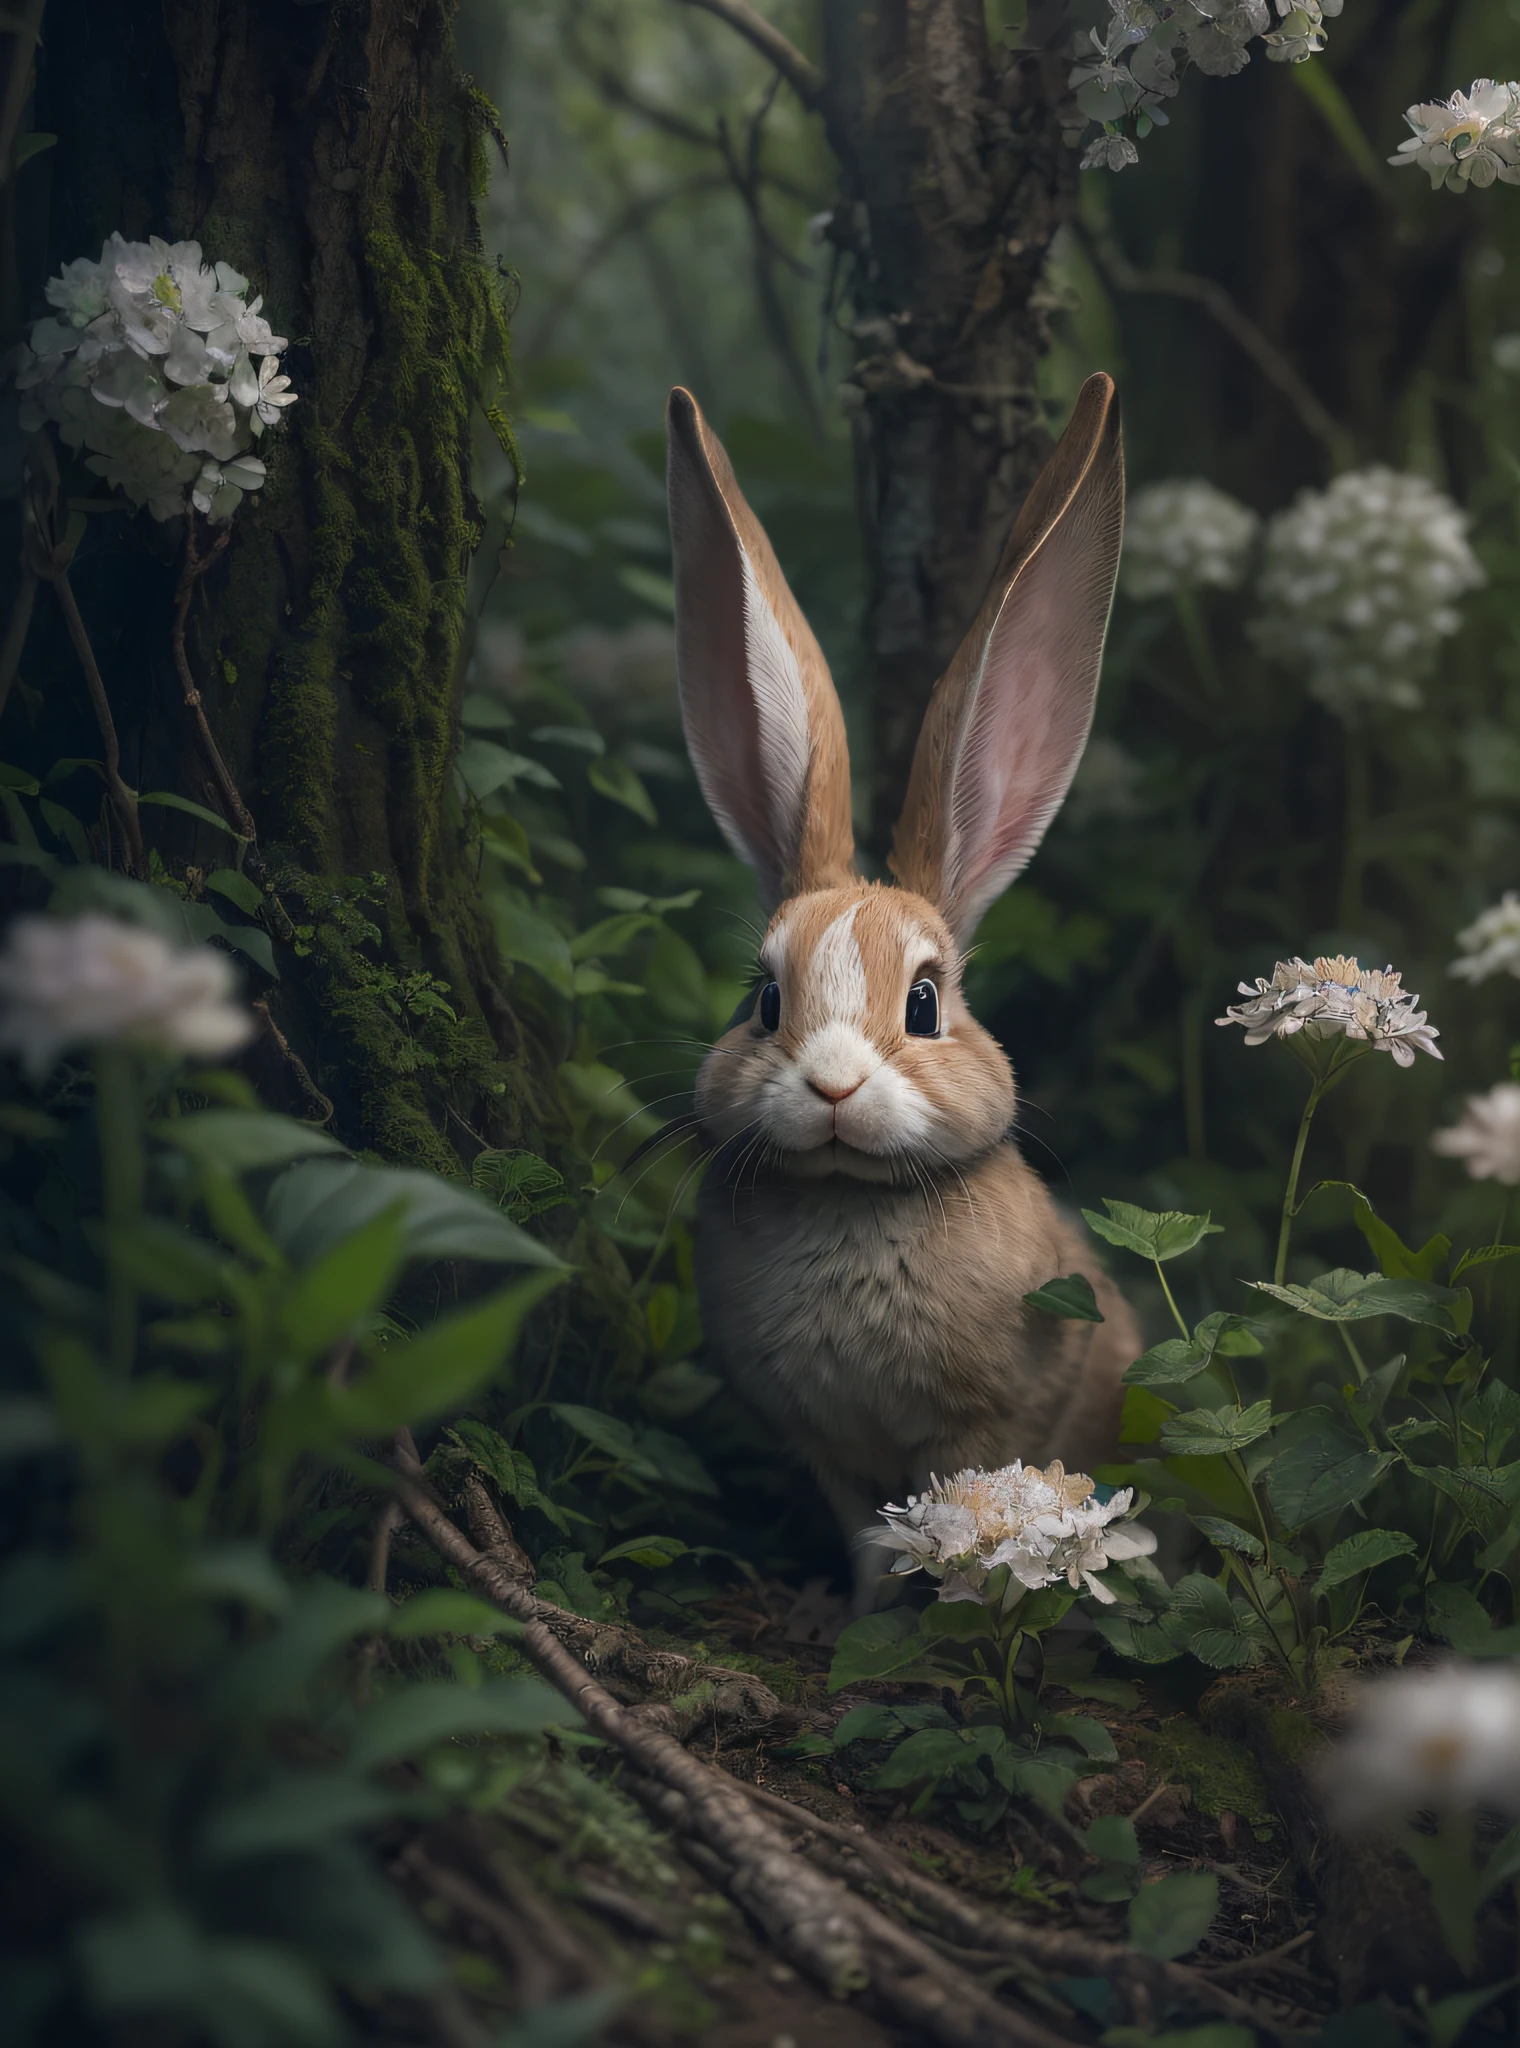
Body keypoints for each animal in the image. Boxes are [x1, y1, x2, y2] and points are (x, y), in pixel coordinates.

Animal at [667, 376, 1147, 1605]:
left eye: (925, 1004)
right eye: (763, 999)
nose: (832, 1084)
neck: (852, 1197)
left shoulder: (994, 1419)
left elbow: (971, 1505)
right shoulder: (825, 1449)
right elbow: (868, 1530)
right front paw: (869, 1610)